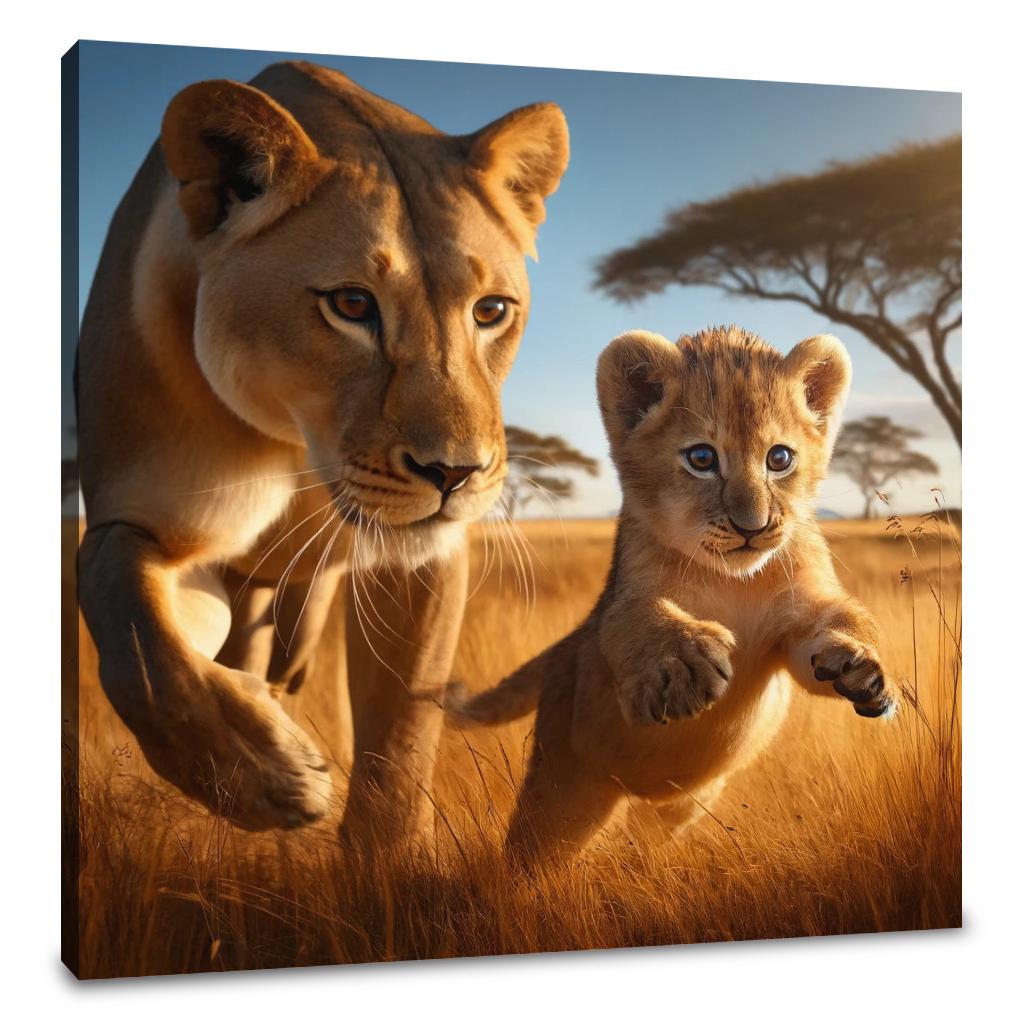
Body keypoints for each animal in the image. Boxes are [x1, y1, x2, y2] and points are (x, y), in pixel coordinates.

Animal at [76, 61, 569, 838]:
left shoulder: (420, 561)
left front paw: (386, 865)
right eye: (352, 304)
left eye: (491, 311)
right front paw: (264, 774)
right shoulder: (149, 521)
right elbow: (136, 637)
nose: (454, 474)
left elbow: (400, 749)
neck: (294, 440)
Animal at [446, 326, 899, 867]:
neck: (733, 581)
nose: (753, 527)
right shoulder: (622, 604)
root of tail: (566, 647)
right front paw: (682, 667)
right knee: (528, 856)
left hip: (684, 804)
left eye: (780, 458)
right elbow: (639, 620)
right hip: (561, 787)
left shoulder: (800, 614)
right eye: (701, 459)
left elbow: (836, 626)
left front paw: (863, 668)